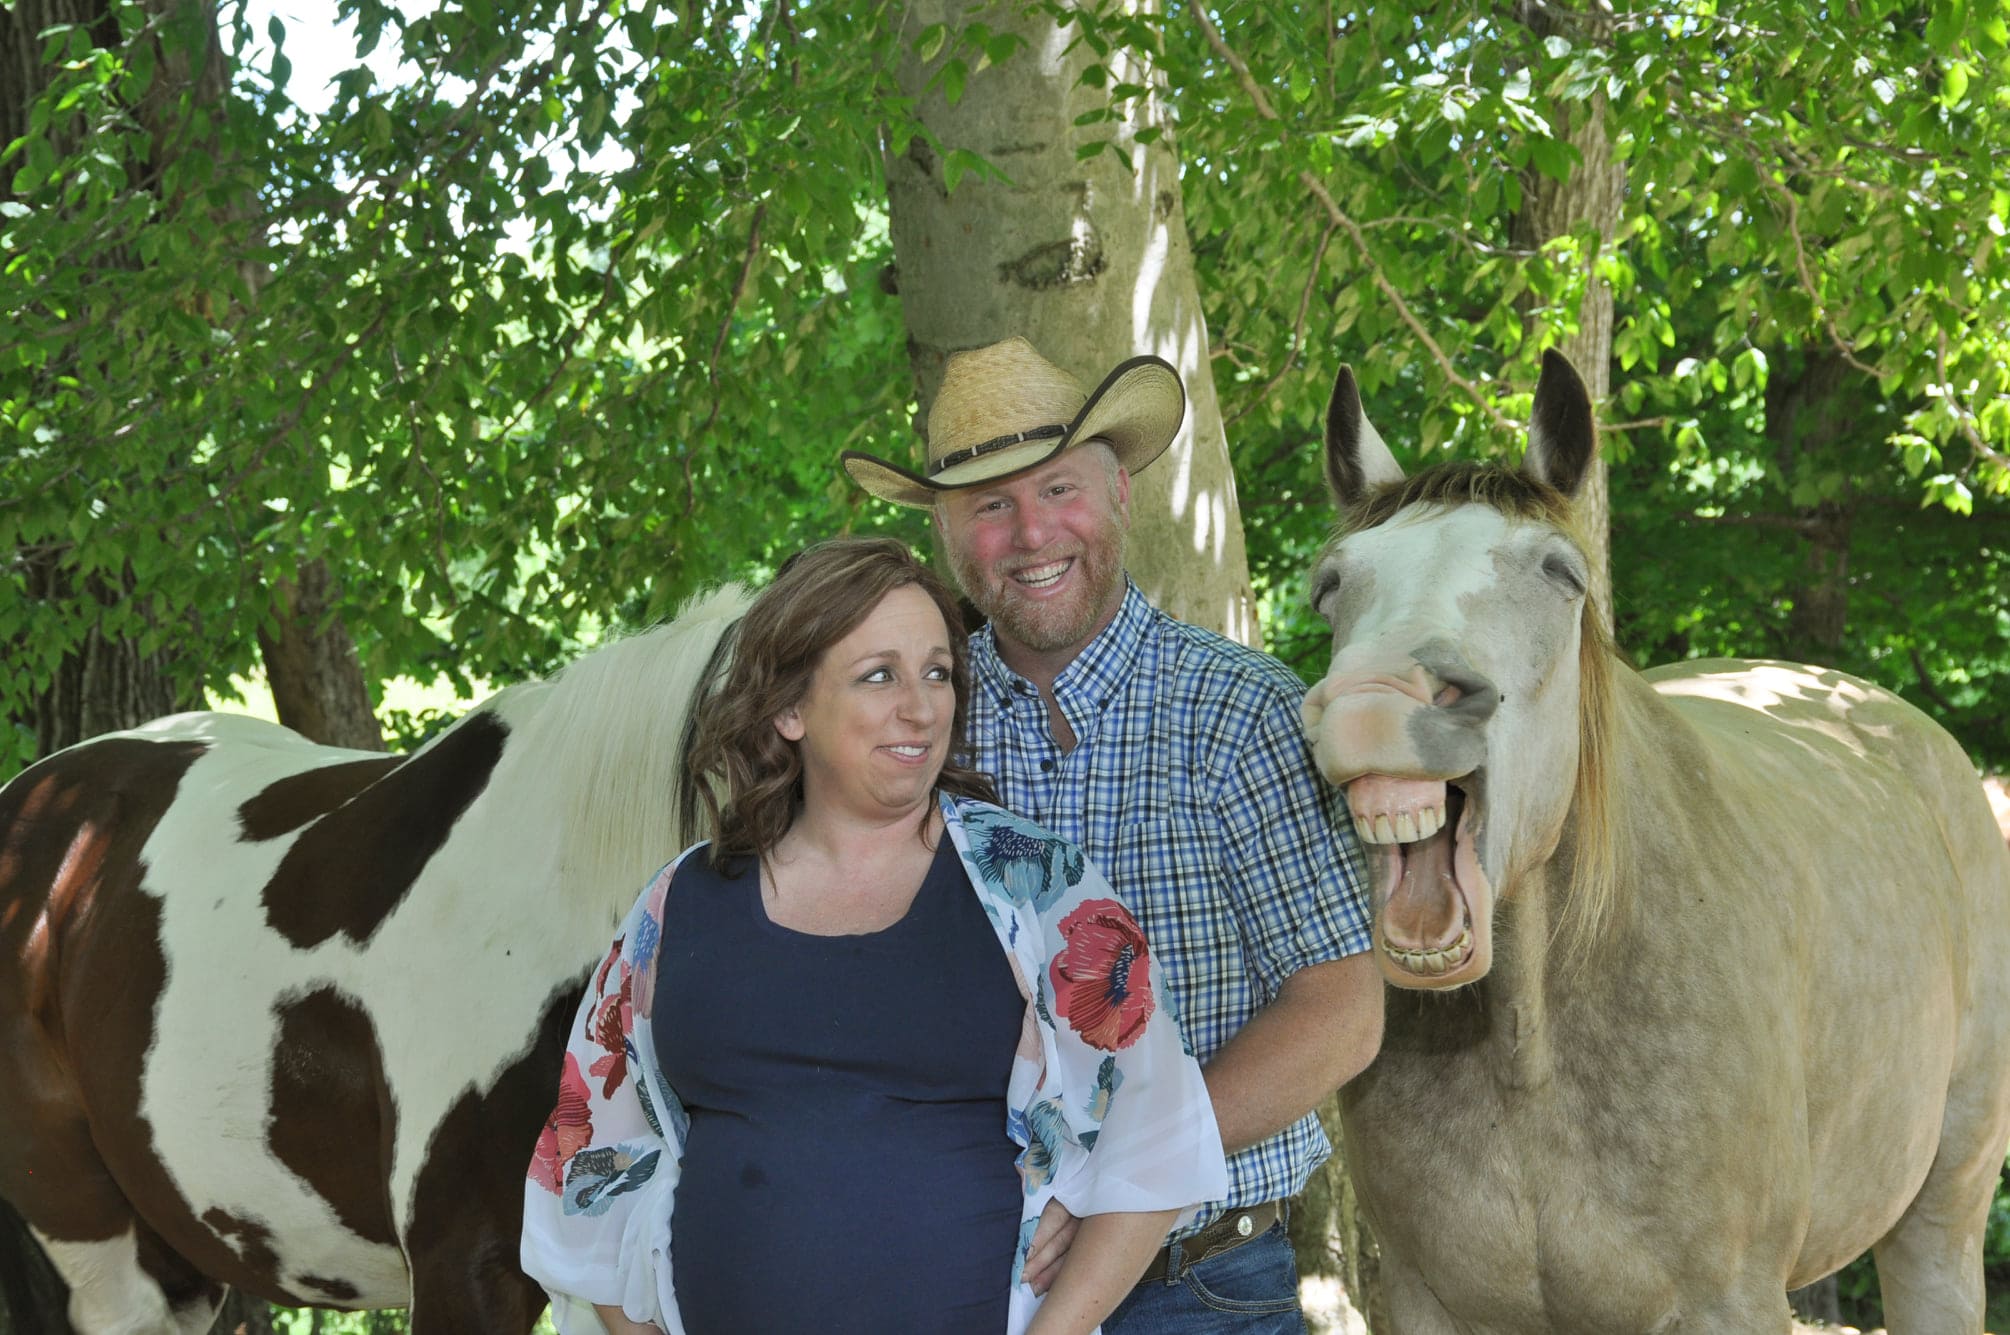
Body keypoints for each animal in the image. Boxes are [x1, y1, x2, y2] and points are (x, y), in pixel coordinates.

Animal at [1302, 345, 2010, 1335]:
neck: (1531, 1048)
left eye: (1562, 573)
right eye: (1333, 581)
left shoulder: (1731, 1298)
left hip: (1942, 1212)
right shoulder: (1422, 1300)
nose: (1376, 701)